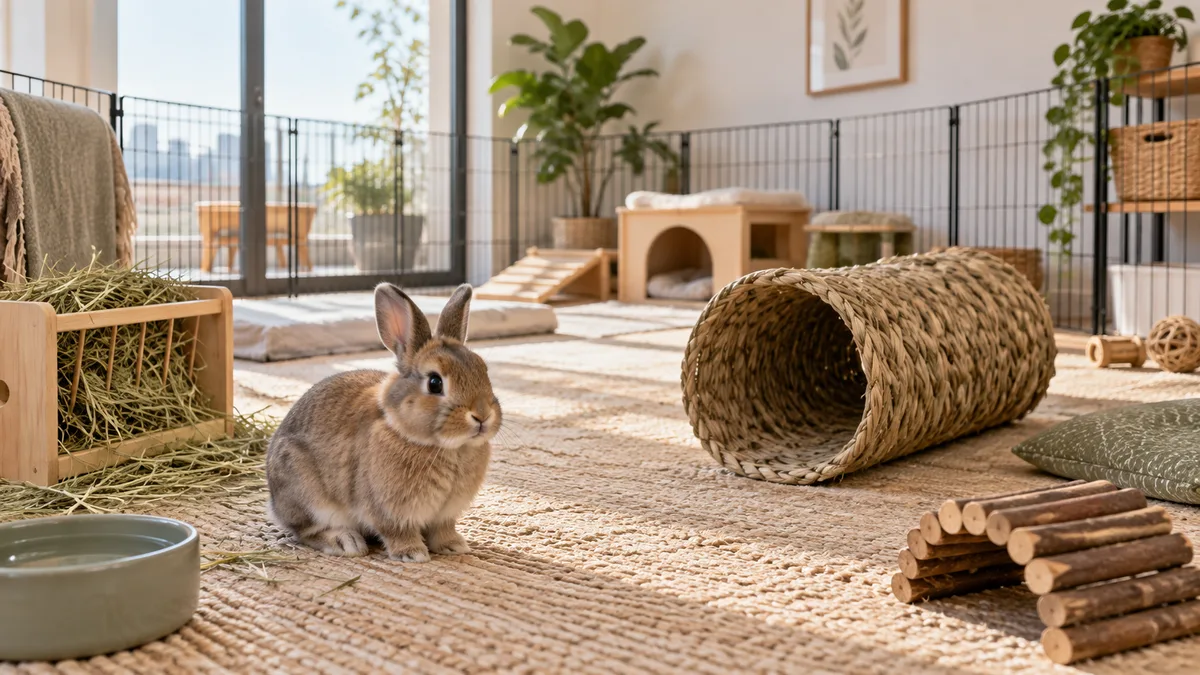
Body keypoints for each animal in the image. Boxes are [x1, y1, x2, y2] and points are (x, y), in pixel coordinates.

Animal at [265, 282, 501, 562]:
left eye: (483, 370)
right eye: (435, 382)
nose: (482, 415)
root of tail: (274, 502)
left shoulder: (444, 515)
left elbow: (442, 530)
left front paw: (454, 545)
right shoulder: (388, 511)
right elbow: (397, 532)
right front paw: (413, 553)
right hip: (308, 496)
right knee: (306, 531)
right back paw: (346, 542)